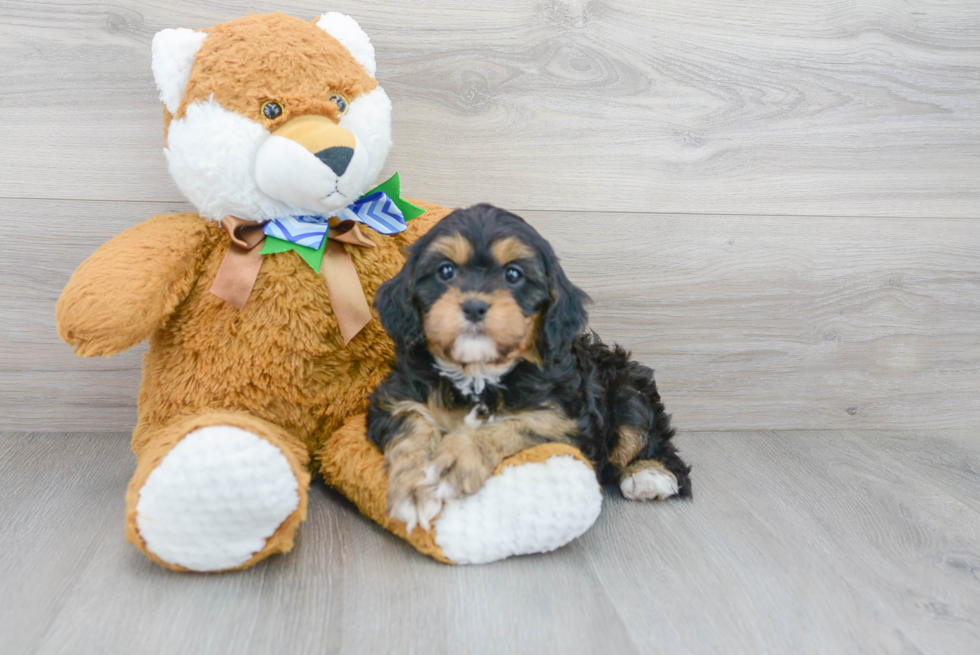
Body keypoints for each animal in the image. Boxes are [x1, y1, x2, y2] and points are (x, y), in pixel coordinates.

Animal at [366, 205, 688, 532]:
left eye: (513, 274)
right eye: (446, 271)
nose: (473, 306)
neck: (478, 373)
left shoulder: (565, 421)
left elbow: (515, 425)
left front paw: (456, 461)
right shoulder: (396, 398)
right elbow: (412, 428)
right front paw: (415, 488)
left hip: (628, 389)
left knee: (646, 436)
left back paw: (649, 474)